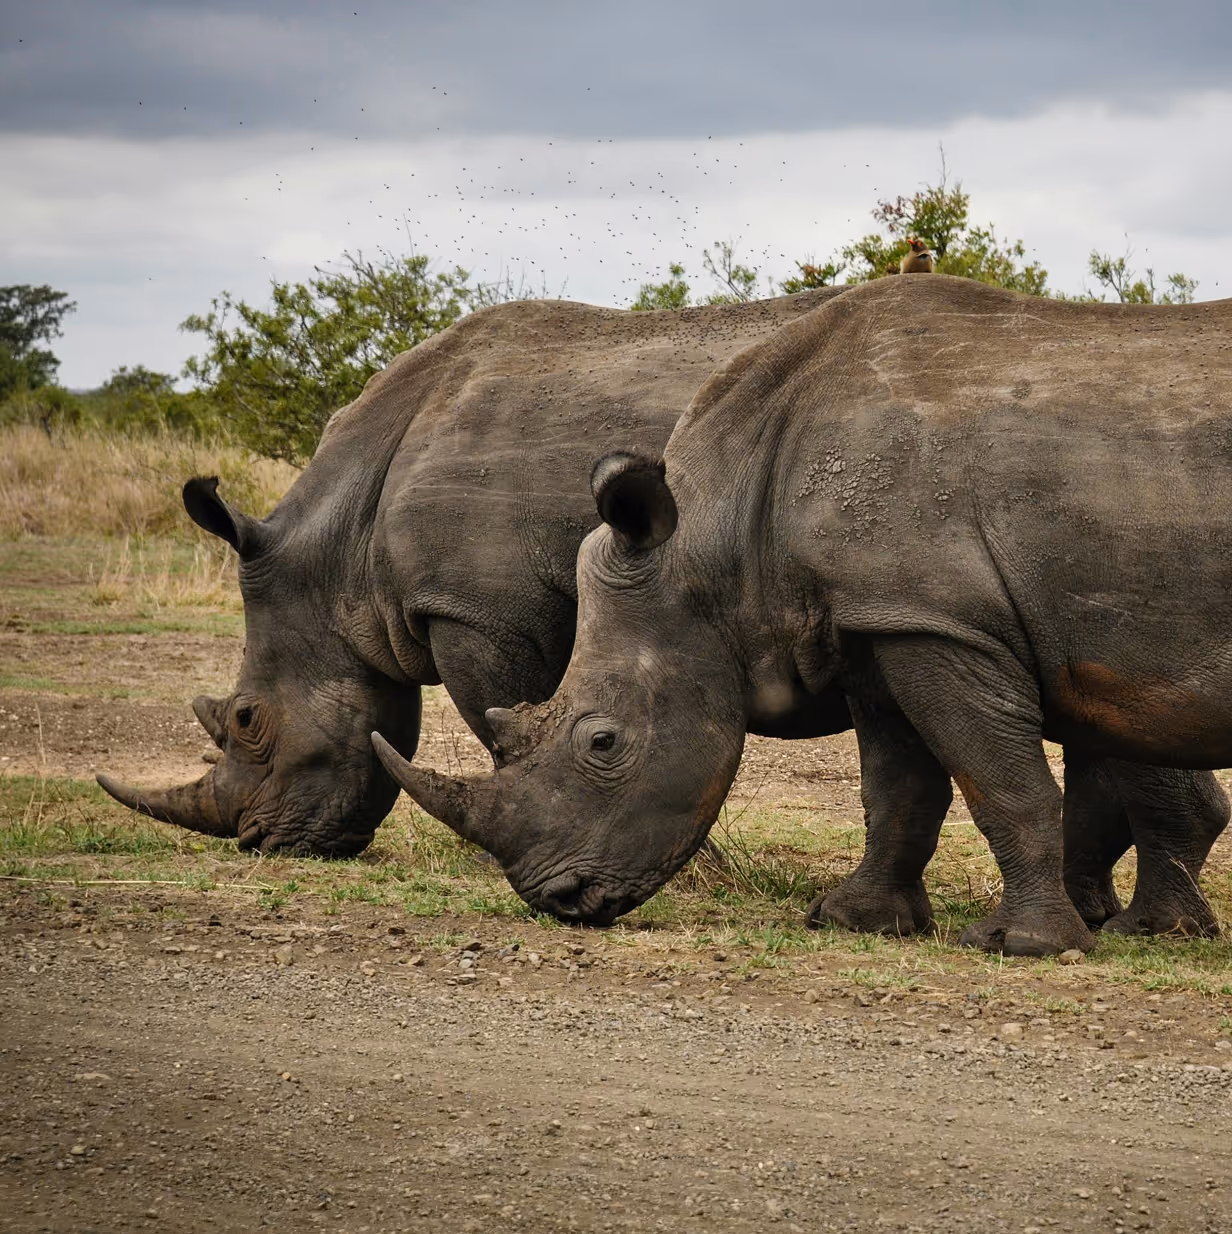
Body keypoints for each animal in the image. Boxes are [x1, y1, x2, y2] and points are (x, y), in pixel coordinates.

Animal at [374, 276, 1232, 953]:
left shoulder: (936, 618)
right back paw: (1153, 932)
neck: (716, 538)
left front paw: (1020, 946)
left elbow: (998, 779)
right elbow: (898, 788)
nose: (558, 900)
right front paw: (857, 921)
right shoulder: (880, 620)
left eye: (603, 741)